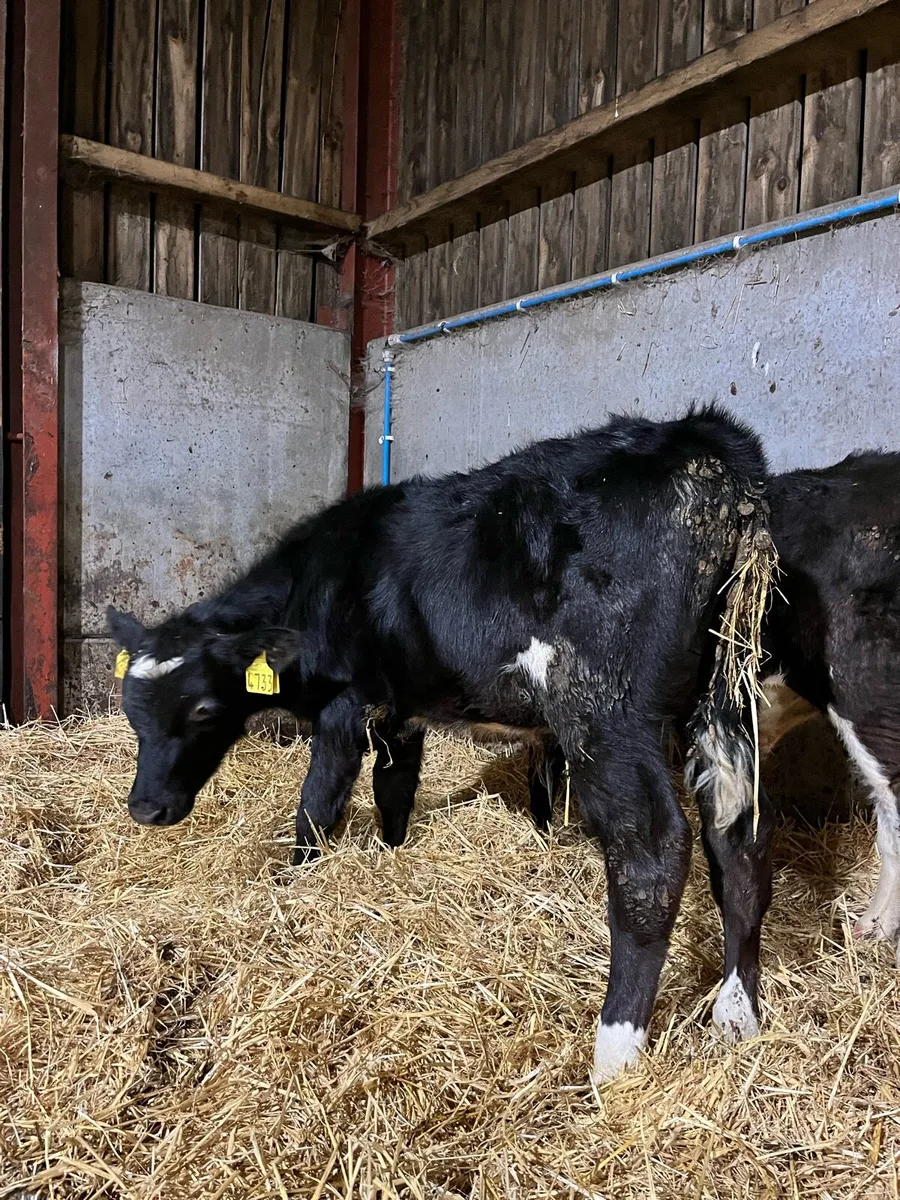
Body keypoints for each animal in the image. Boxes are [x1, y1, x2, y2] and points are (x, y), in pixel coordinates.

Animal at [108, 406, 769, 1084]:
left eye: (202, 709)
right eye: (132, 711)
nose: (146, 807)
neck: (319, 578)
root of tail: (700, 442)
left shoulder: (346, 705)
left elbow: (317, 807)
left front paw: (292, 885)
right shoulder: (403, 710)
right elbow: (394, 790)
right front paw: (391, 855)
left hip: (606, 704)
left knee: (653, 852)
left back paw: (614, 1055)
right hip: (727, 693)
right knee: (738, 842)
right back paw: (737, 1018)